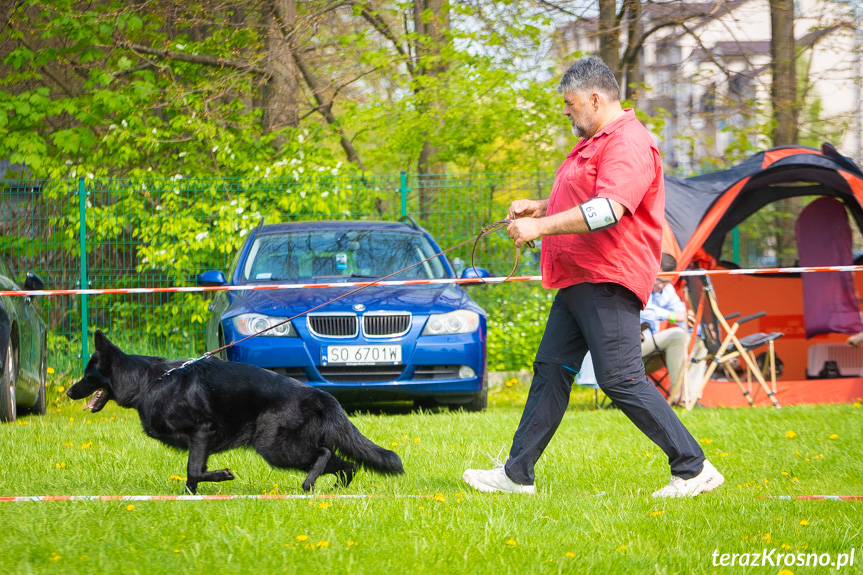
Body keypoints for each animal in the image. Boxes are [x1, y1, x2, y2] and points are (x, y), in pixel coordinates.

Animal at [67, 330, 404, 498]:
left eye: (87, 374)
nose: (68, 392)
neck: (149, 381)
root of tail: (318, 394)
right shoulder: (200, 441)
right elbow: (193, 473)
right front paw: (189, 497)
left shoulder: (201, 431)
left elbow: (193, 469)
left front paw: (219, 477)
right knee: (347, 464)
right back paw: (334, 489)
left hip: (275, 448)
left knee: (323, 453)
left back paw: (309, 484)